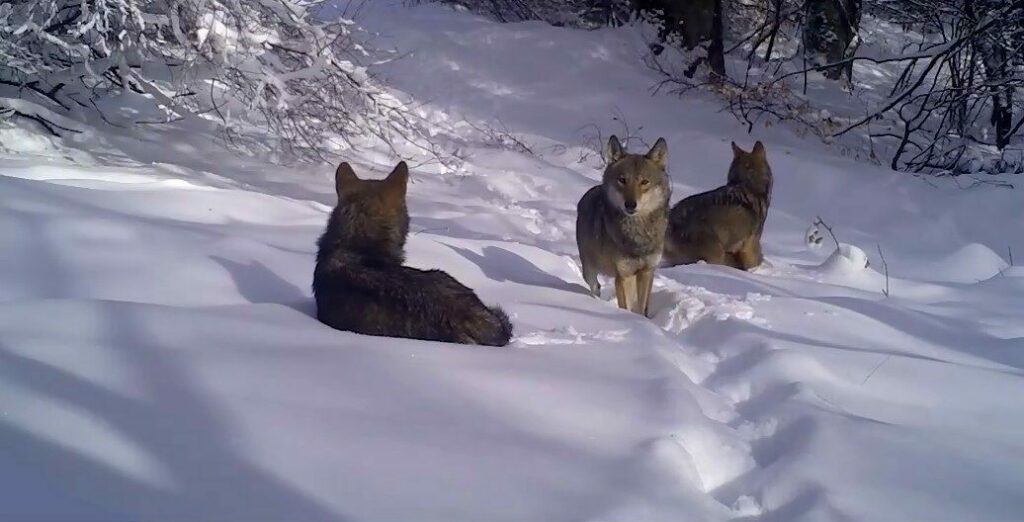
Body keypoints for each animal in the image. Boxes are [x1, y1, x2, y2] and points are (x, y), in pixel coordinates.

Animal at [577, 134, 671, 315]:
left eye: (644, 182)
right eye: (622, 180)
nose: (630, 204)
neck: (638, 235)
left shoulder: (646, 272)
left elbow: (642, 309)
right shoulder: (623, 275)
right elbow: (625, 306)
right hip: (589, 269)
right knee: (595, 286)